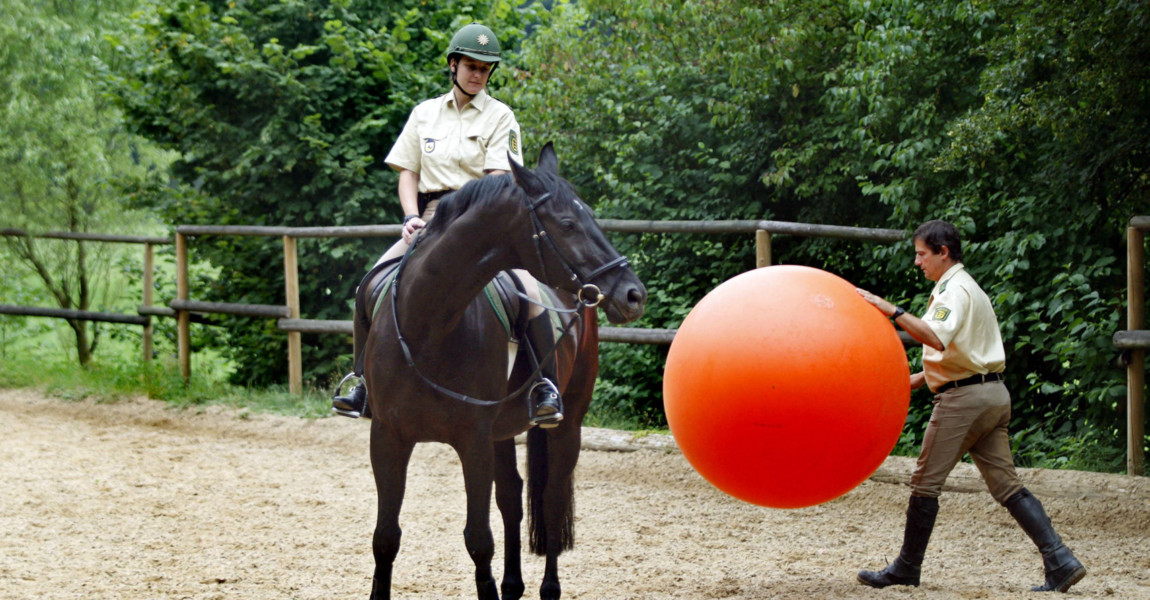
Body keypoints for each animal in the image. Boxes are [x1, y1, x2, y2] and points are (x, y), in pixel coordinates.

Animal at [356, 143, 648, 597]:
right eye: (567, 223)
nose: (634, 294)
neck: (429, 325)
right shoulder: (388, 436)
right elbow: (385, 538)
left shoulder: (473, 440)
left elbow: (479, 541)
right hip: (503, 432)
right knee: (512, 498)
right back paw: (512, 586)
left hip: (568, 423)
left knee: (551, 499)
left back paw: (548, 589)